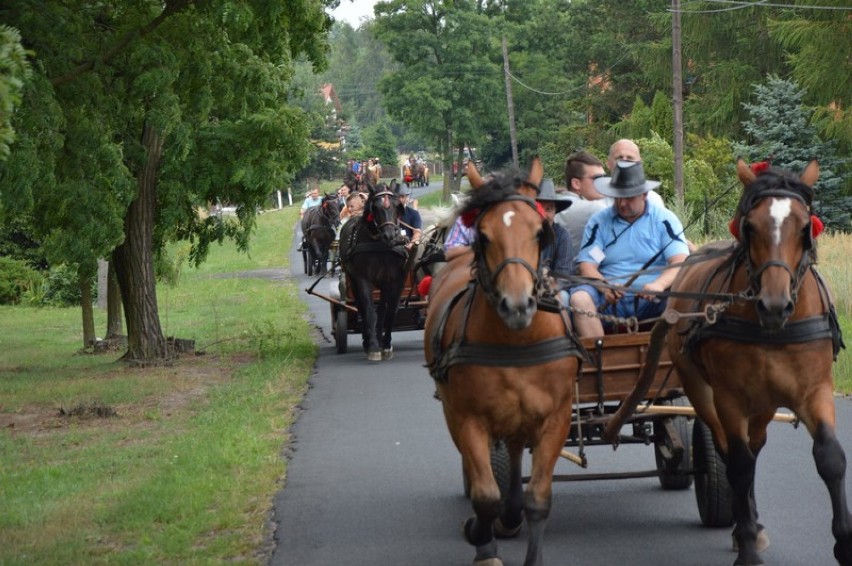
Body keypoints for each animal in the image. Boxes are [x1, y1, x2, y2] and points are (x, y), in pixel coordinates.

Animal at [338, 180, 408, 362]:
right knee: (362, 307)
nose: (389, 236)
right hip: (352, 279)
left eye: (397, 206)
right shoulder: (363, 279)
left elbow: (388, 313)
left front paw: (386, 345)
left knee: (381, 310)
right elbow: (370, 311)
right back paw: (367, 341)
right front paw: (374, 347)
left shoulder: (392, 280)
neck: (379, 246)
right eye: (375, 207)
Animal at [426, 159, 584, 566]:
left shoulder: (556, 418)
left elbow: (538, 499)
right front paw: (481, 541)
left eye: (540, 232)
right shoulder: (469, 418)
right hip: (456, 412)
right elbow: (486, 498)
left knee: (513, 459)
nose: (517, 305)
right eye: (483, 236)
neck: (517, 341)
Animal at [664, 159, 852, 564]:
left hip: (764, 403)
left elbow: (830, 458)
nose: (774, 305)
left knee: (756, 444)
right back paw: (741, 524)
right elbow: (738, 463)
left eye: (805, 227)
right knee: (731, 451)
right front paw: (747, 546)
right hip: (701, 391)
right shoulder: (730, 398)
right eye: (749, 226)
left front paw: (844, 544)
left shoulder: (816, 390)